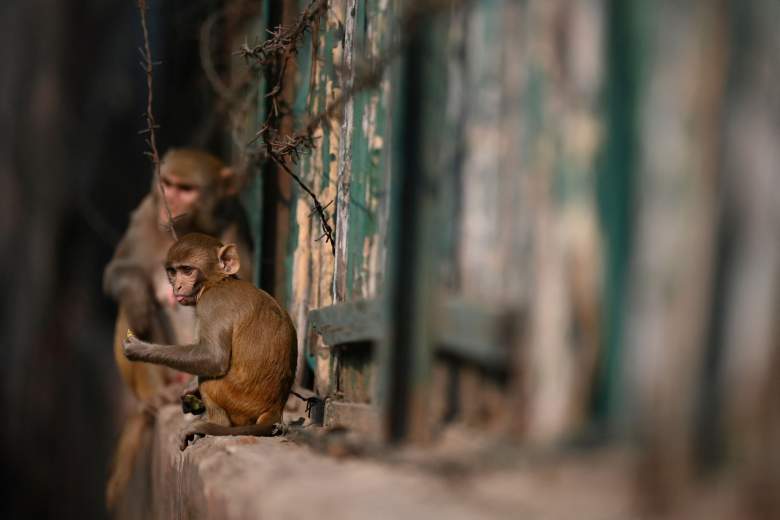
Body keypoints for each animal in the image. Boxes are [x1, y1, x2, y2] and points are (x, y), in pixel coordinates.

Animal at [103, 147, 253, 512]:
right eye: (168, 183)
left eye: (186, 189)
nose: (168, 201)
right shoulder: (145, 214)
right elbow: (117, 272)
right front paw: (137, 294)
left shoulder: (233, 222)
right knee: (132, 311)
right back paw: (159, 394)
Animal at [123, 234, 298, 448]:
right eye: (173, 272)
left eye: (187, 270)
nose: (176, 287)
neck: (217, 282)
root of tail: (276, 408)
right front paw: (190, 389)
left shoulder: (212, 305)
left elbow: (213, 358)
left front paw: (140, 349)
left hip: (240, 402)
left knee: (209, 380)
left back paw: (213, 426)